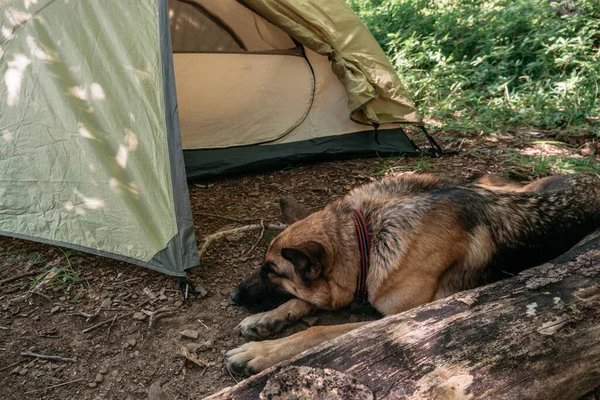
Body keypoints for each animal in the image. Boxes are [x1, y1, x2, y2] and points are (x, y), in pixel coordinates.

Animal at [224, 173, 600, 376]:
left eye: (271, 272)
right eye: (262, 266)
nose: (232, 296)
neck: (368, 238)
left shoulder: (395, 317)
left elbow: (318, 330)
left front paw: (260, 352)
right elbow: (306, 302)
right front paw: (267, 320)